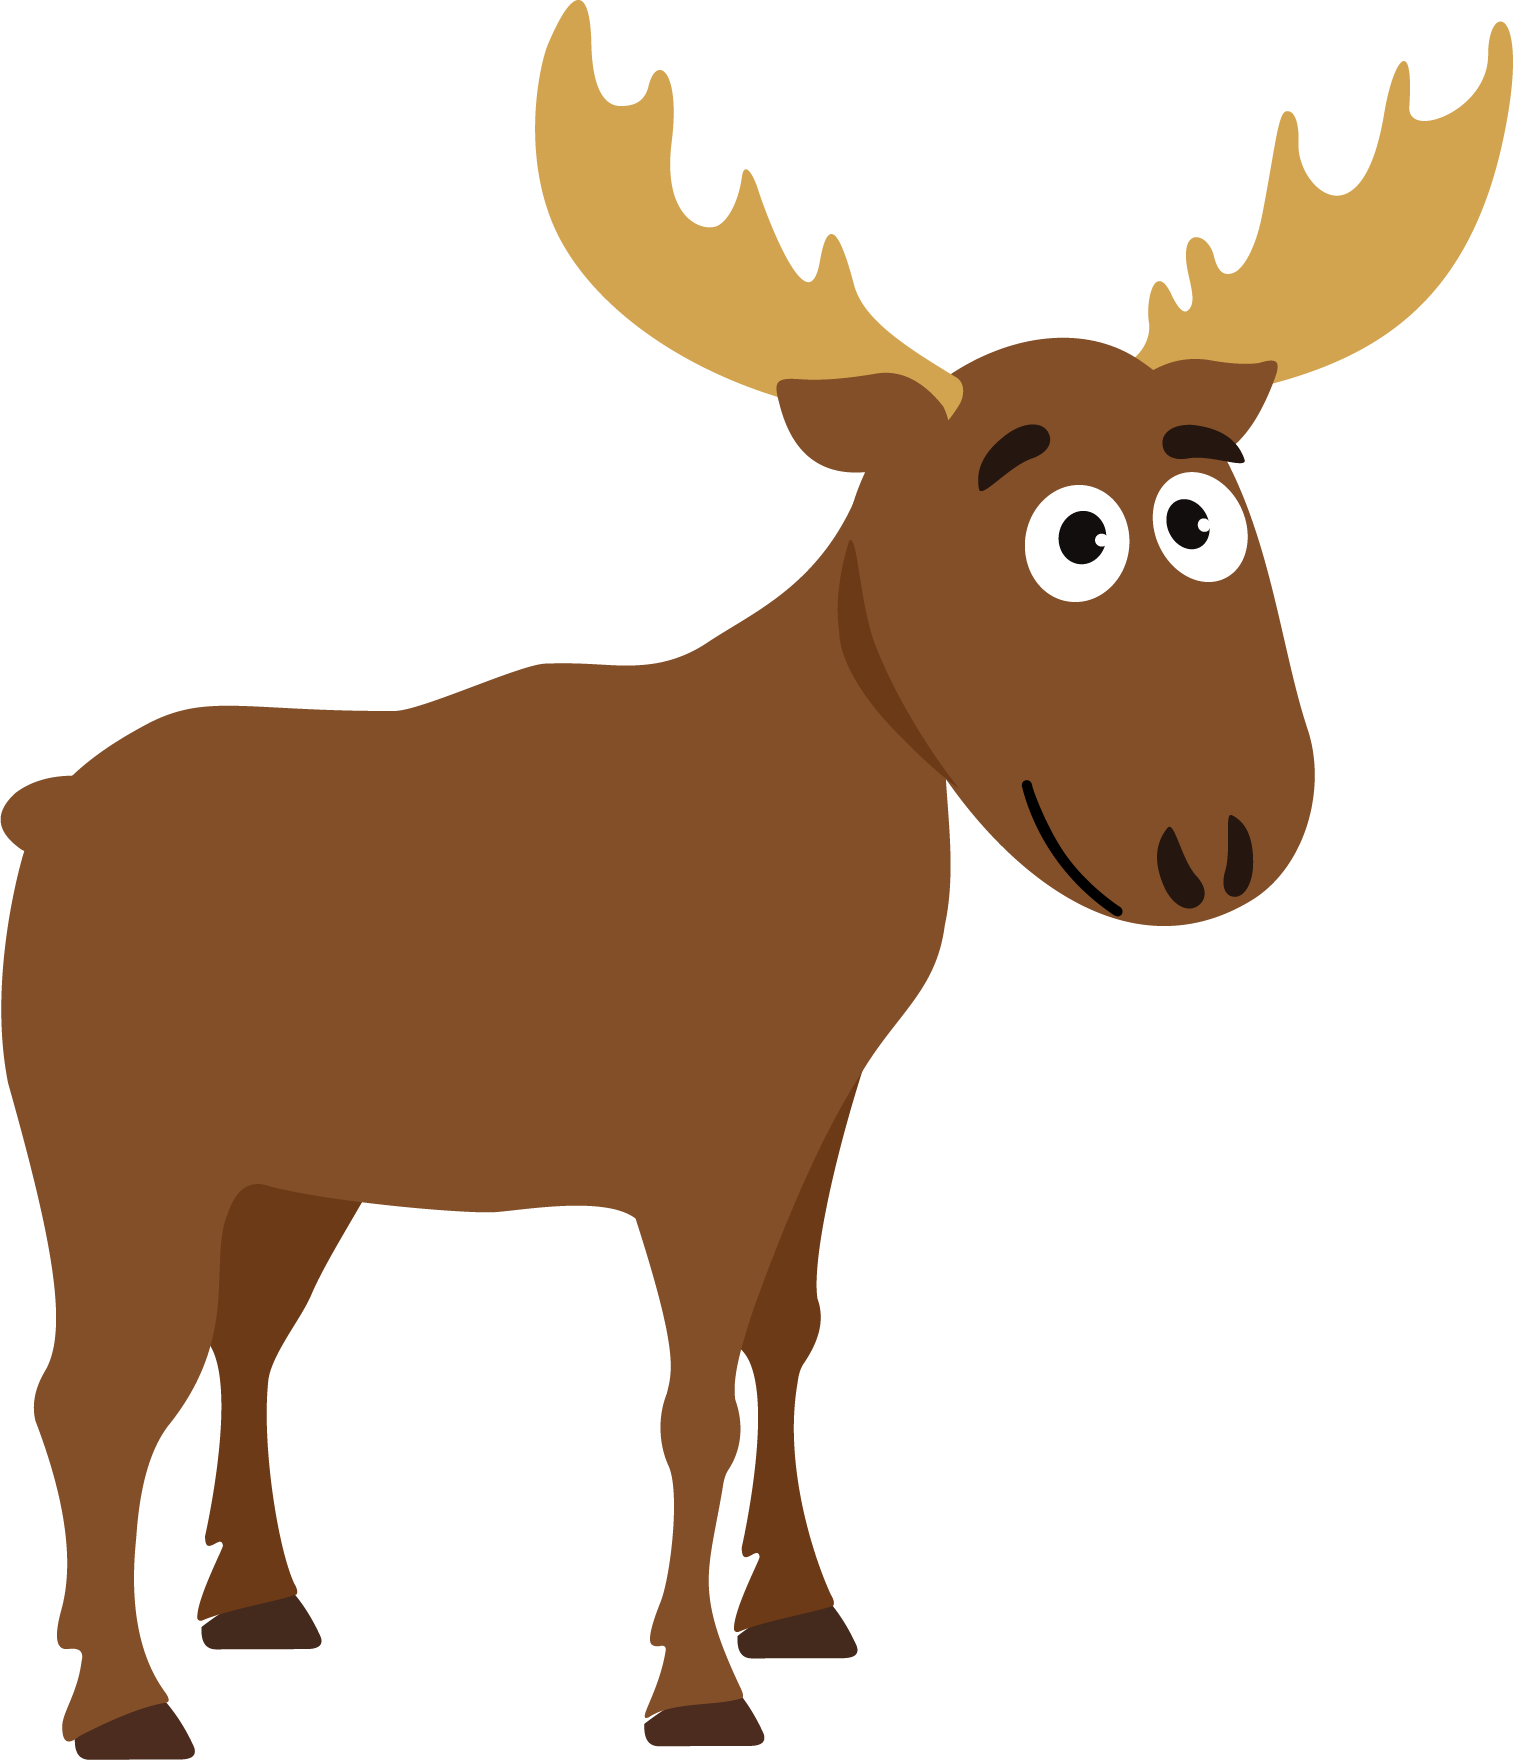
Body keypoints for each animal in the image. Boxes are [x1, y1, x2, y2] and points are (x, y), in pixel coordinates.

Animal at [2, 5, 1508, 1754]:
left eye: (1204, 513)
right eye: (1071, 535)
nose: (1216, 836)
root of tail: (43, 809)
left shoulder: (814, 1115)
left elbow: (786, 1348)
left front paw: (799, 1610)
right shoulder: (698, 1147)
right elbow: (692, 1405)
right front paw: (693, 1684)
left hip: (294, 1174)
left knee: (239, 1350)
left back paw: (241, 1603)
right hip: (120, 1157)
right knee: (94, 1390)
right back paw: (121, 1694)